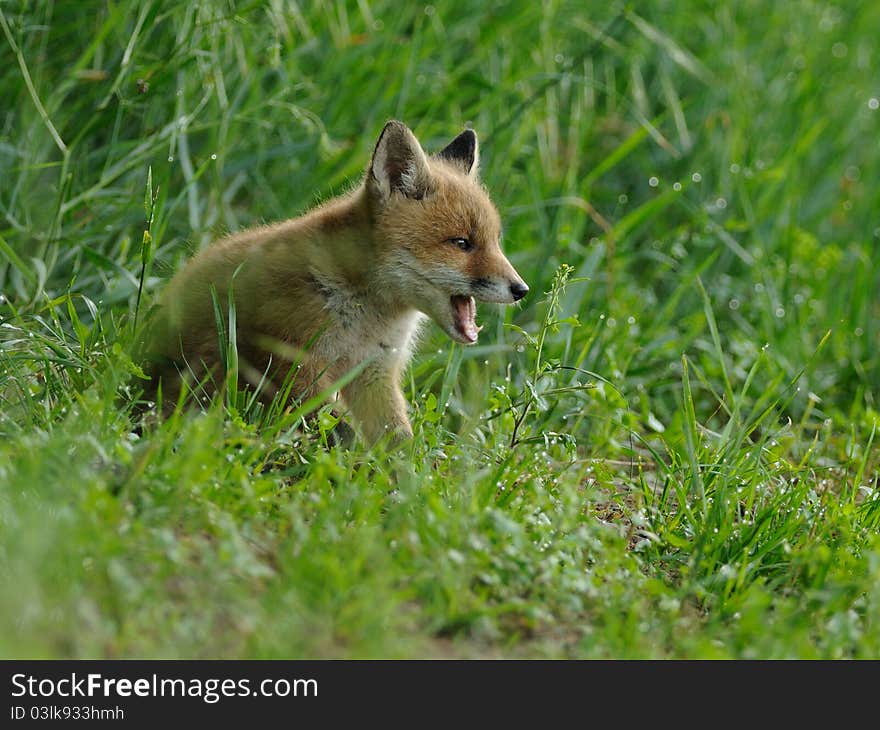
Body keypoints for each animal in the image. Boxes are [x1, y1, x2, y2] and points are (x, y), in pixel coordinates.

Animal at [144, 119, 528, 440]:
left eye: (495, 241)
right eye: (462, 243)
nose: (521, 289)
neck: (367, 319)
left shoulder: (375, 372)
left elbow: (398, 442)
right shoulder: (288, 358)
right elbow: (342, 432)